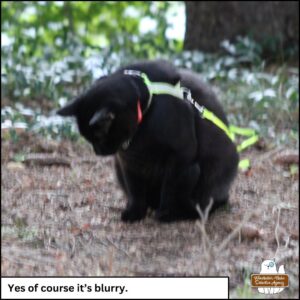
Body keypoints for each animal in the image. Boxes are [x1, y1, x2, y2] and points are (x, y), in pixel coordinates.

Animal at [57, 59, 238, 221]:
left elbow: (170, 188)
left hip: (199, 171)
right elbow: (135, 190)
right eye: (89, 140)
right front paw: (134, 213)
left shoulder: (181, 156)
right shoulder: (128, 162)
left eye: (98, 138)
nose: (97, 151)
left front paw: (166, 214)